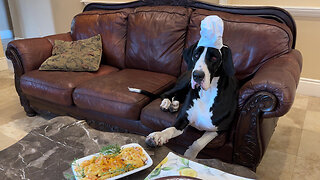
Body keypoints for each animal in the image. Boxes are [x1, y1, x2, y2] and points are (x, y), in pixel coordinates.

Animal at [130, 15, 238, 159]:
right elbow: (169, 129)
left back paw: (174, 105)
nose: (197, 75)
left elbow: (199, 142)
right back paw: (166, 103)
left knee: (177, 96)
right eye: (196, 55)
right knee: (167, 94)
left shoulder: (220, 129)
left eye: (214, 58)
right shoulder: (182, 119)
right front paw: (157, 136)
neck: (206, 94)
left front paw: (190, 154)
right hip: (184, 83)